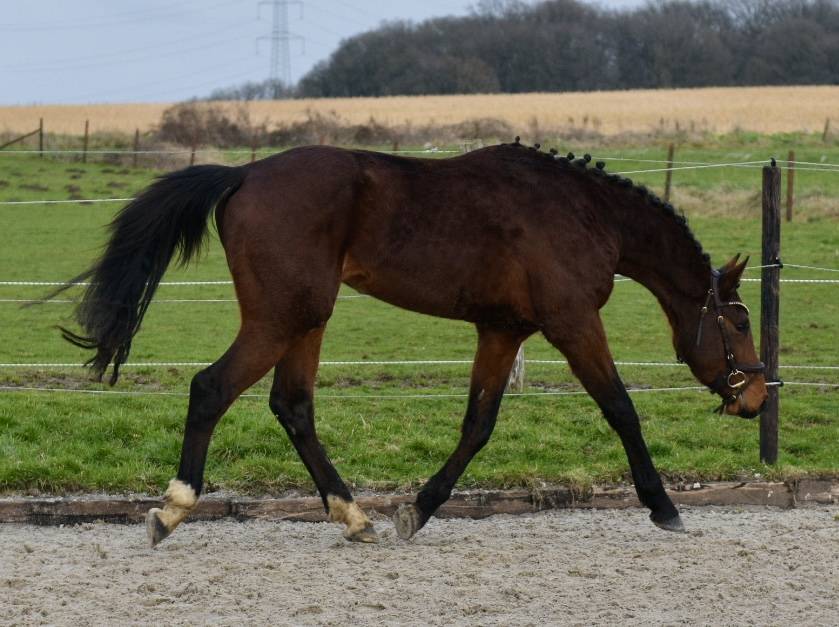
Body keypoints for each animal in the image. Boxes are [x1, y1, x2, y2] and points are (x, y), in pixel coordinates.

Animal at [54, 139, 767, 547]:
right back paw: (172, 510)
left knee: (292, 406)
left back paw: (355, 517)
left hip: (306, 321)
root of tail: (244, 176)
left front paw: (415, 511)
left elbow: (478, 425)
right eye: (738, 321)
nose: (757, 395)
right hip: (283, 317)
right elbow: (621, 408)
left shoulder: (502, 331)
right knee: (212, 387)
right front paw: (664, 507)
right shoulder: (572, 323)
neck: (584, 211)